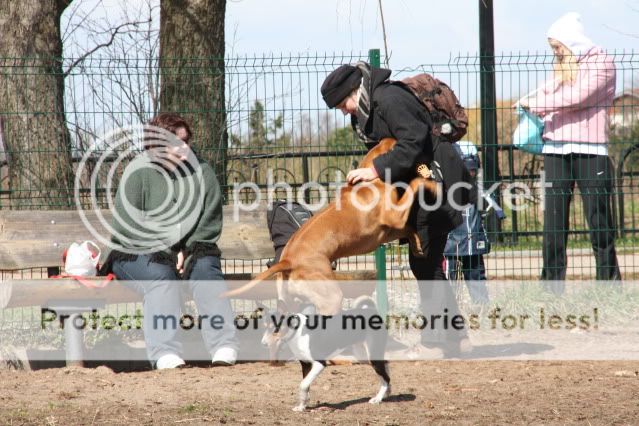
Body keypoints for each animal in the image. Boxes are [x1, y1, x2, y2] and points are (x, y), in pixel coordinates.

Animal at [223, 138, 438, 315]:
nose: (430, 157)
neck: (371, 176)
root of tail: (287, 260)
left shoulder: (388, 229)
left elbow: (409, 228)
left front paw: (417, 245)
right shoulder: (395, 216)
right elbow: (414, 185)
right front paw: (430, 184)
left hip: (288, 300)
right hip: (330, 297)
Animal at [258, 296, 391, 411]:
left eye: (275, 329)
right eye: (264, 327)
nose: (263, 343)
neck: (297, 331)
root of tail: (372, 312)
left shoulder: (320, 364)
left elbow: (303, 384)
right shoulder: (306, 365)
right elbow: (306, 386)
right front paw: (302, 406)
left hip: (372, 356)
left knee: (386, 376)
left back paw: (378, 398)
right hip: (363, 356)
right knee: (386, 367)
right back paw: (388, 392)